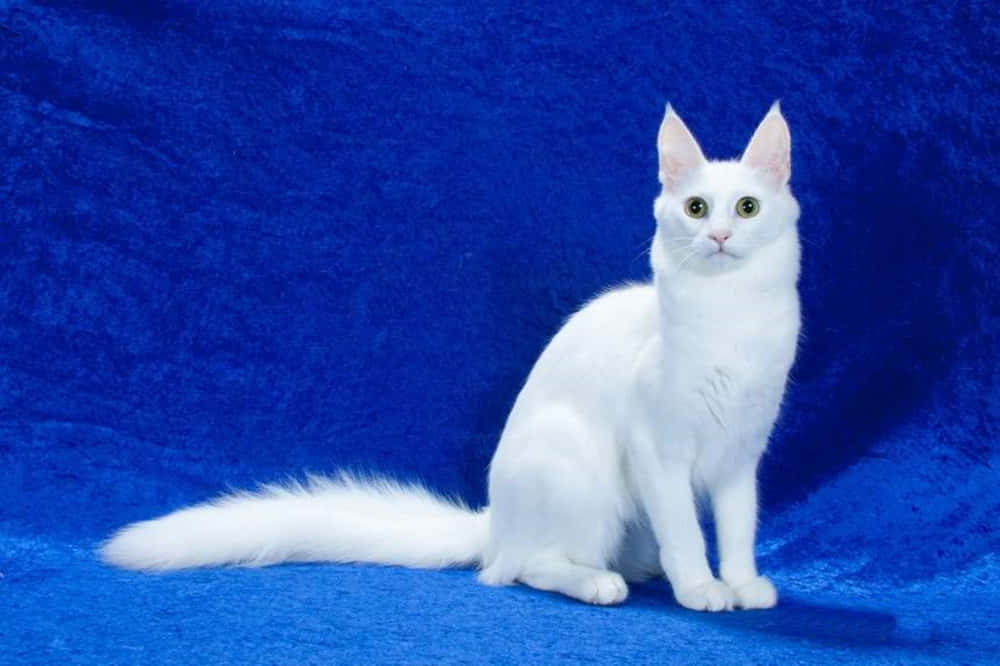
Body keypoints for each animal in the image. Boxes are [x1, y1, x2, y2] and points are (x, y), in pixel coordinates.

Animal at [101, 101, 800, 608]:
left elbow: (737, 531)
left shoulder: (742, 457)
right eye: (695, 207)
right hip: (580, 475)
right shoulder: (660, 450)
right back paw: (598, 583)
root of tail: (494, 523)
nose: (718, 235)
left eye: (746, 208)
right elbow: (687, 533)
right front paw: (702, 589)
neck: (730, 322)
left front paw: (741, 585)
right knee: (525, 568)